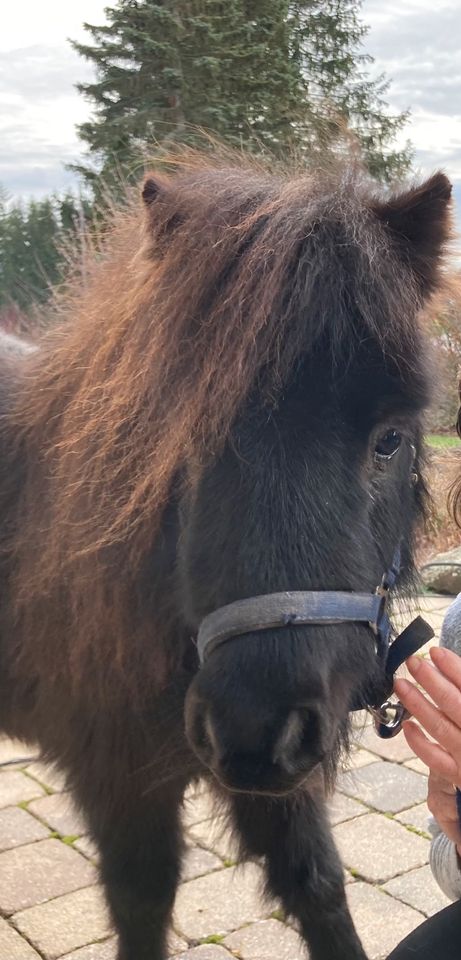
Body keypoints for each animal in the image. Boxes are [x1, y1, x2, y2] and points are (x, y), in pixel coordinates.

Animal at [0, 158, 452, 960]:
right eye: (185, 429)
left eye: (390, 439)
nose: (251, 729)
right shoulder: (119, 781)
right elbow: (142, 905)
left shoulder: (282, 785)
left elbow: (319, 887)